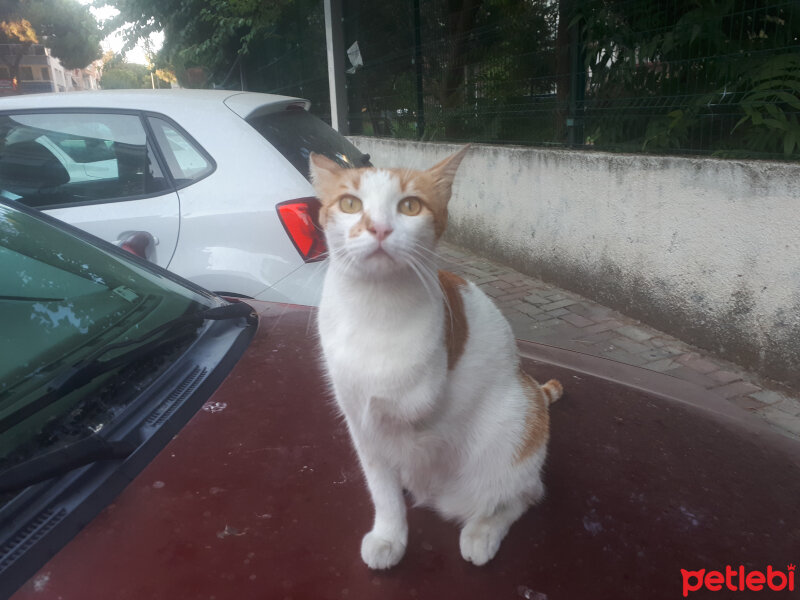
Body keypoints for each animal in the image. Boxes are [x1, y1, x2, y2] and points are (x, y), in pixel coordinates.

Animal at [308, 145, 564, 568]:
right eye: (350, 204)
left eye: (410, 206)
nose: (379, 229)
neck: (374, 307)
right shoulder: (357, 418)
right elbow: (381, 485)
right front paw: (390, 535)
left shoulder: (415, 394)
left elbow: (403, 408)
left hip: (513, 430)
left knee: (521, 494)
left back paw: (482, 532)